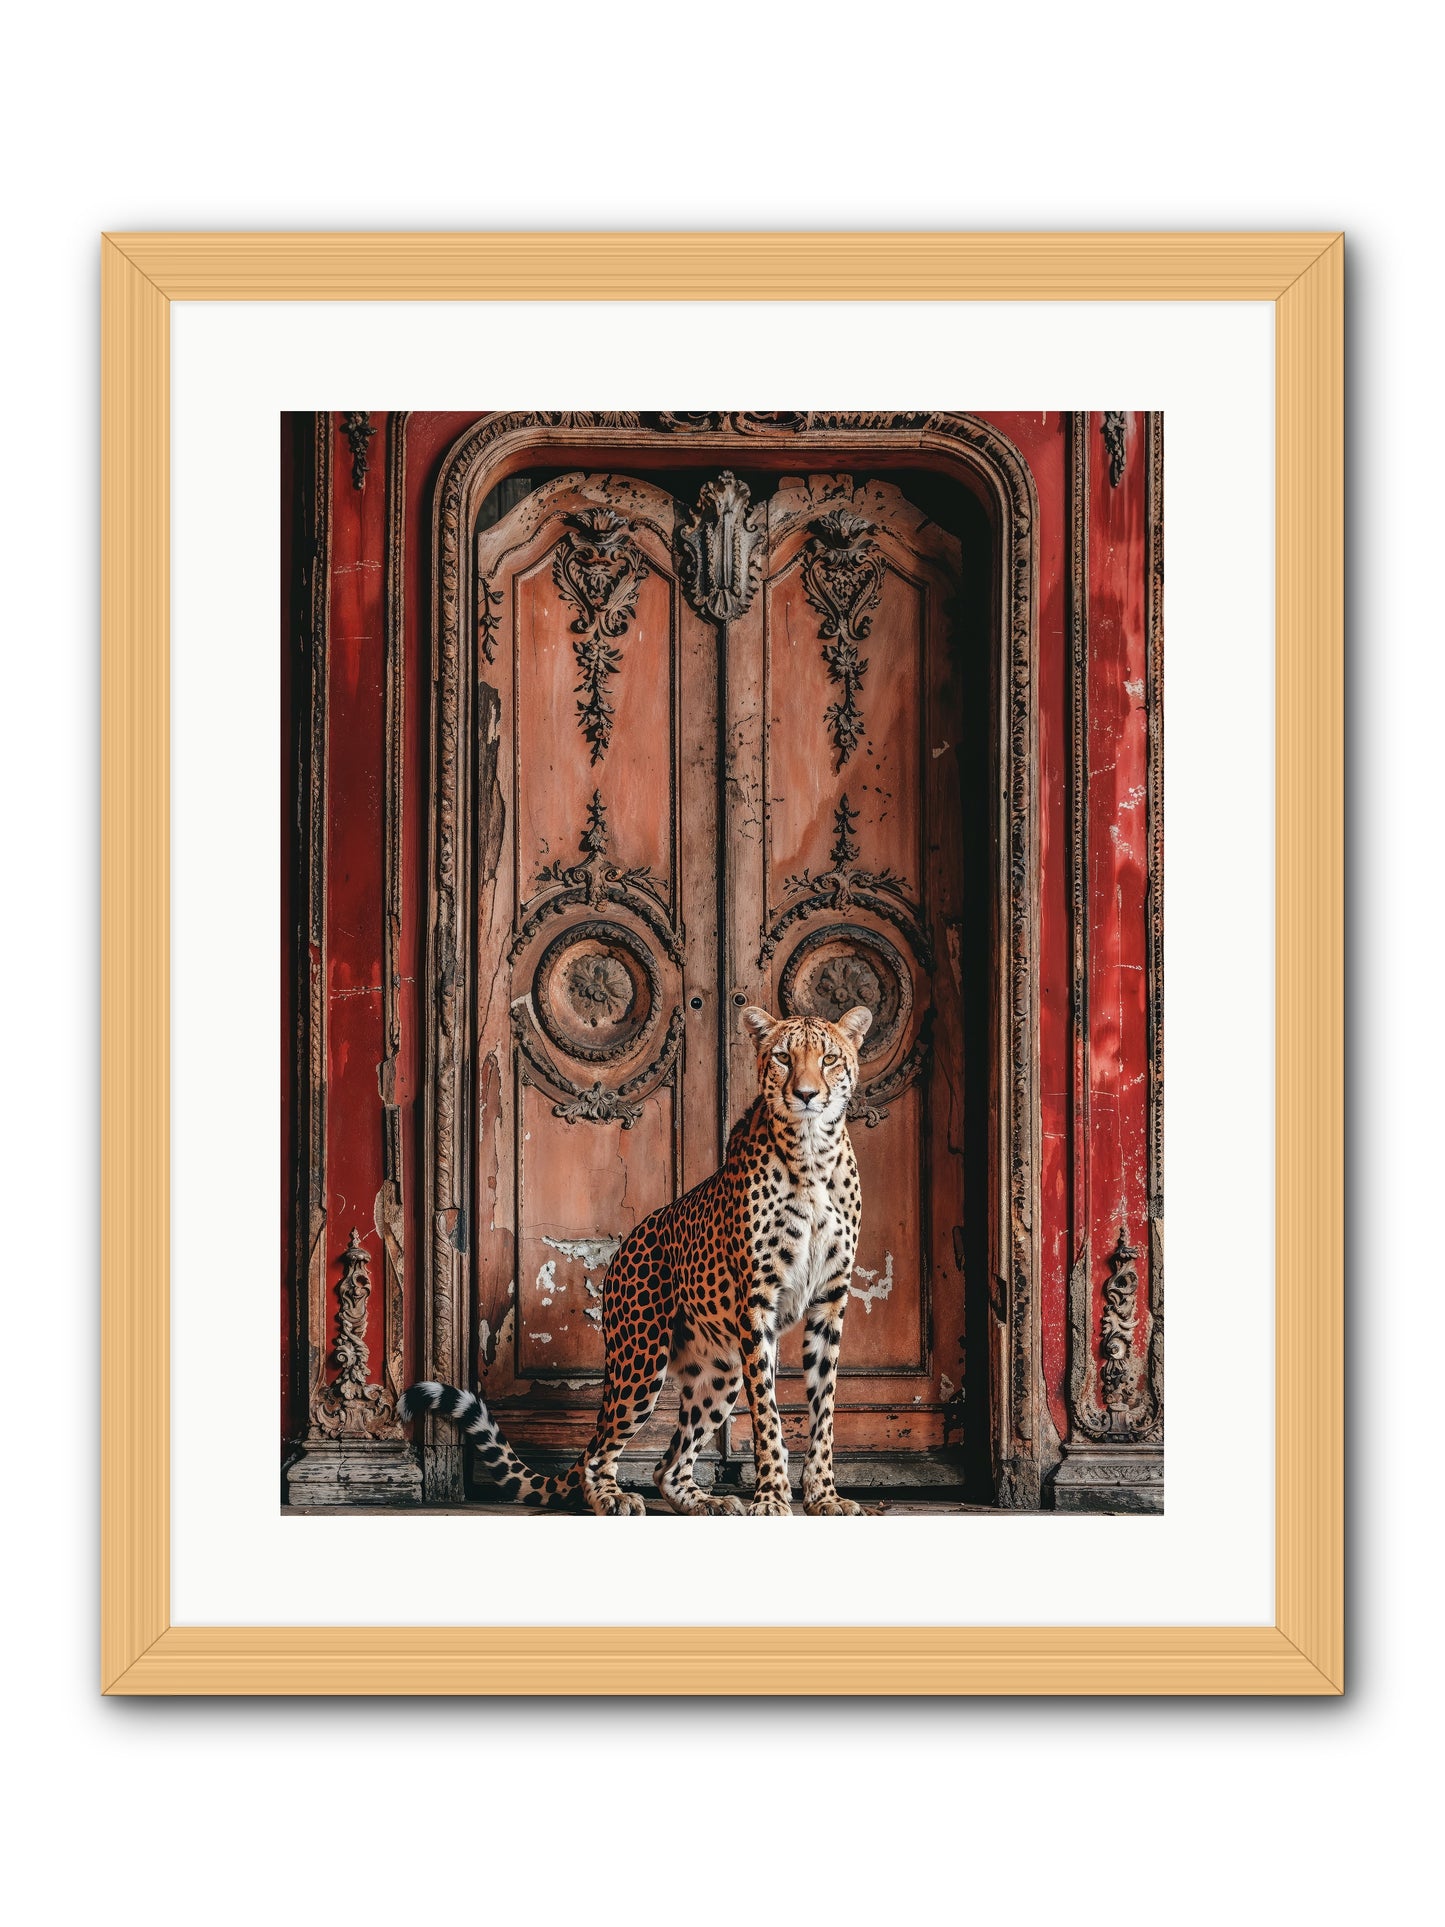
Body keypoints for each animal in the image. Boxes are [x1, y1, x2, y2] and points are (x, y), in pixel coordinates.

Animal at [399, 1001, 873, 1516]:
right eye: (784, 1057)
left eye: (829, 1059)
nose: (806, 1095)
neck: (812, 1154)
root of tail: (626, 1244)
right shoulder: (758, 1304)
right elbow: (768, 1412)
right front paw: (770, 1497)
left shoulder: (830, 1301)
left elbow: (824, 1410)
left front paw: (824, 1496)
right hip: (641, 1360)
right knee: (598, 1452)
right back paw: (614, 1497)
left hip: (720, 1371)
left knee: (666, 1466)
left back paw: (707, 1502)